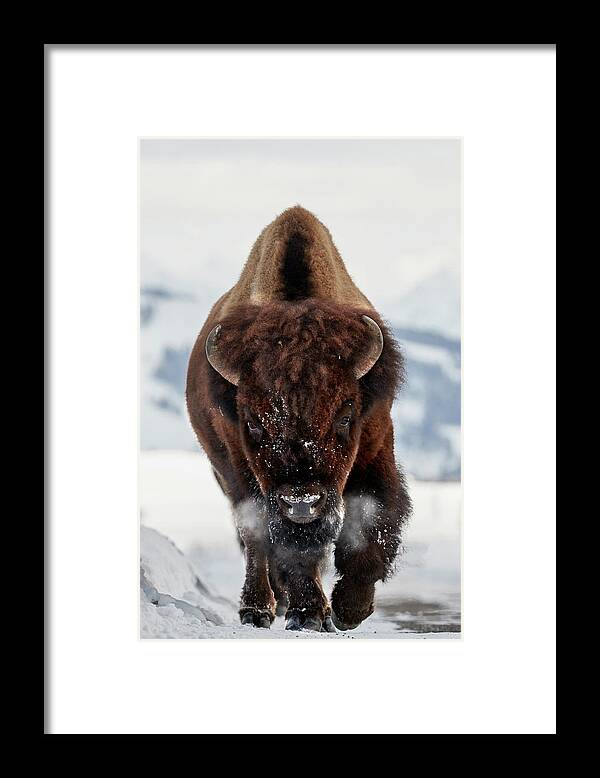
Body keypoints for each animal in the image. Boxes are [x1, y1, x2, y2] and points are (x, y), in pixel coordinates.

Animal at [186, 206, 412, 632]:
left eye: (346, 415)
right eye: (253, 423)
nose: (302, 503)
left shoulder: (375, 449)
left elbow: (373, 521)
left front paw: (349, 610)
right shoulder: (245, 472)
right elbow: (283, 545)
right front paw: (310, 614)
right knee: (255, 541)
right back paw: (259, 609)